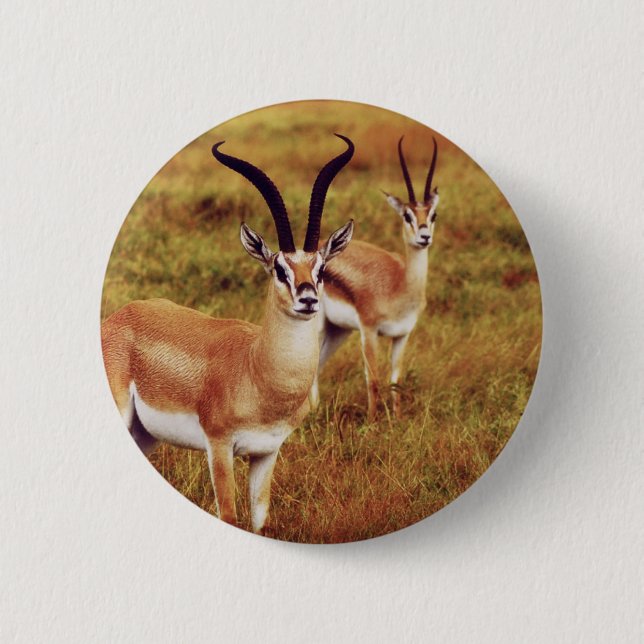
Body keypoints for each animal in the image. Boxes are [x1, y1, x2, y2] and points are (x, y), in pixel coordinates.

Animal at [101, 134, 354, 534]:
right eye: (279, 268)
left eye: (321, 268)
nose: (308, 299)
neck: (256, 369)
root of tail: (119, 317)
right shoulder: (219, 446)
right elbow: (230, 516)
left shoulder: (267, 452)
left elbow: (260, 521)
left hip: (144, 434)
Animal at [310, 136, 439, 421]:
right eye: (407, 215)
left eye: (433, 215)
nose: (424, 237)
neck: (399, 286)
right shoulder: (369, 331)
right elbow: (373, 380)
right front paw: (371, 423)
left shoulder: (402, 335)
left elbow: (395, 381)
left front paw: (397, 421)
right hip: (320, 326)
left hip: (339, 330)